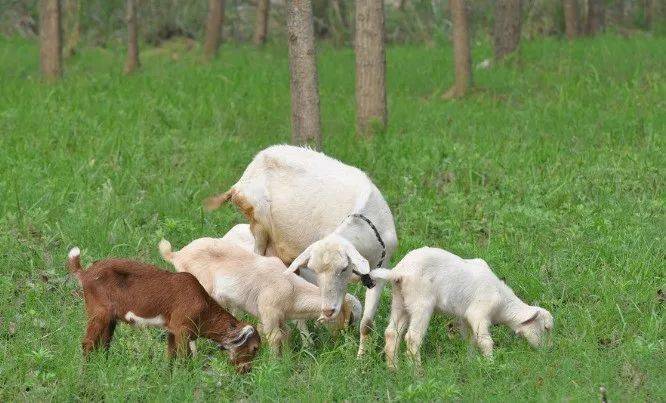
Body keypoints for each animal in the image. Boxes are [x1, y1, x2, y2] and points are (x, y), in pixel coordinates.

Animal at [158, 238, 360, 356]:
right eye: (349, 318)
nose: (343, 342)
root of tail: (177, 254)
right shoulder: (269, 312)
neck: (293, 290)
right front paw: (275, 365)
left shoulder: (275, 317)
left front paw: (287, 358)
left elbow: (285, 334)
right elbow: (275, 337)